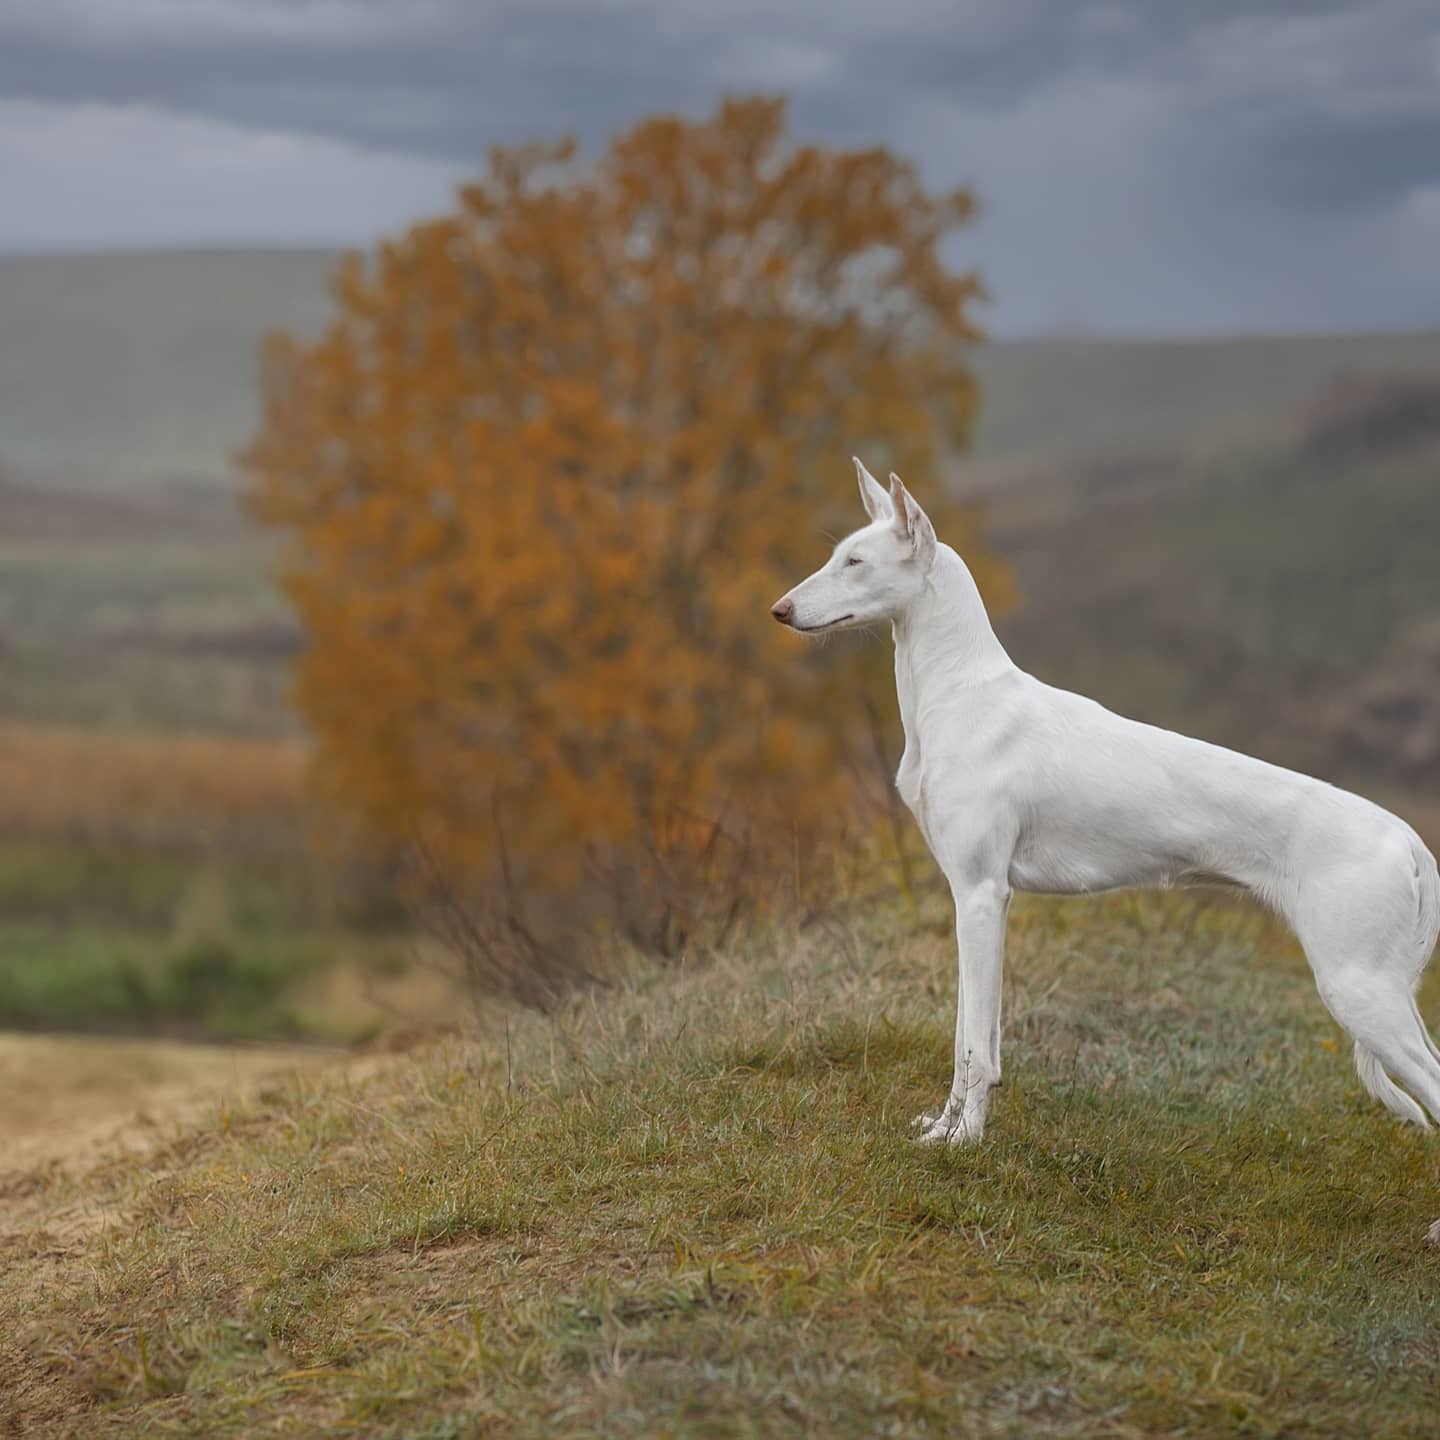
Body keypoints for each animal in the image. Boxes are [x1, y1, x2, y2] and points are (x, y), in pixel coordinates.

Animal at [777, 455, 1440, 1140]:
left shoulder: (982, 896)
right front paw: (943, 1128)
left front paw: (964, 1142)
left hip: (1357, 987)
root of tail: (1407, 841)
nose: (779, 609)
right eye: (838, 554)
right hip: (1381, 992)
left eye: (856, 561)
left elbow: (975, 1050)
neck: (959, 691)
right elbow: (969, 1036)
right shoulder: (973, 899)